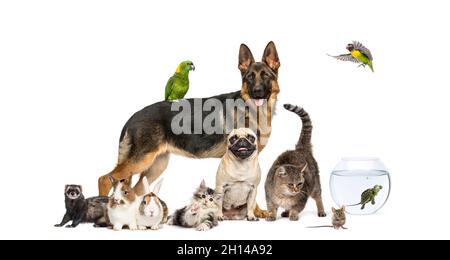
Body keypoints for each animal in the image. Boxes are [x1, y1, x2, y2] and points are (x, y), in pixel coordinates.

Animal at [98, 42, 282, 215]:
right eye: (249, 77)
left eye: (265, 76)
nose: (257, 92)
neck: (252, 110)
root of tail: (132, 117)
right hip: (141, 160)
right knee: (104, 179)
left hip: (156, 165)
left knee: (135, 190)